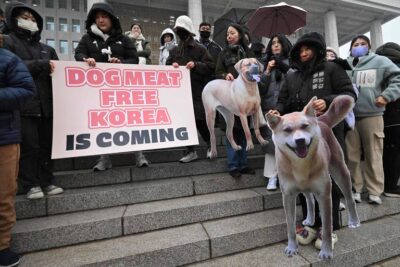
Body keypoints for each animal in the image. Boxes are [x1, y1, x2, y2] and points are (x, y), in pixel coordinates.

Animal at [268, 96, 360, 260]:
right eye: (287, 130)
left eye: (305, 126)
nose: (299, 140)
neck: (300, 164)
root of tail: (320, 120)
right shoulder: (288, 196)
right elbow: (290, 227)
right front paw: (292, 247)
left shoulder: (324, 194)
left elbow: (327, 227)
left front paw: (326, 251)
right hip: (305, 186)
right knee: (309, 199)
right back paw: (310, 219)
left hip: (340, 171)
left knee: (349, 198)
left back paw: (354, 220)